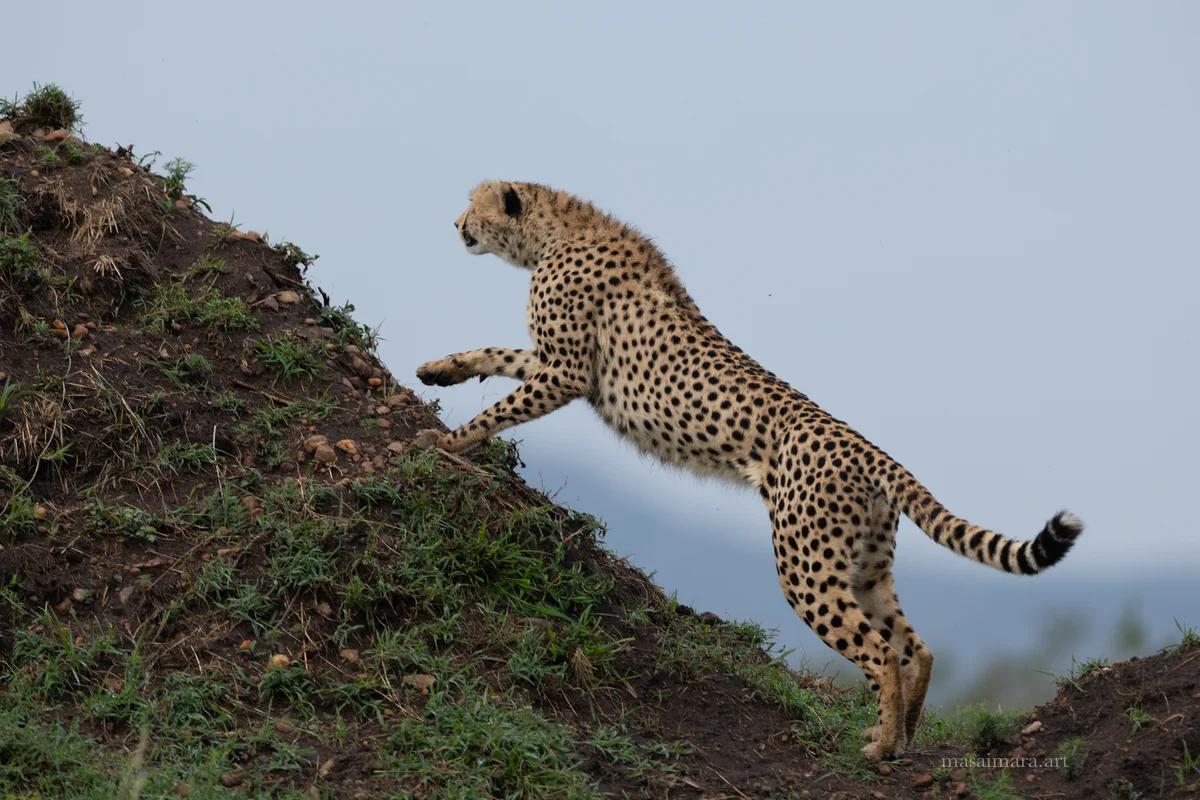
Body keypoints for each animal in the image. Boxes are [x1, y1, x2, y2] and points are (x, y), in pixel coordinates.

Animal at [412, 180, 1084, 759]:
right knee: (917, 647)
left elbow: (499, 407)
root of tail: (872, 451)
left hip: (806, 567)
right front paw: (440, 370)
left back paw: (879, 746)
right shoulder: (559, 365)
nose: (455, 224)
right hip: (866, 566)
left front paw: (446, 440)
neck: (556, 234)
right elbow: (497, 354)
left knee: (880, 651)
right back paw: (905, 736)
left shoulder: (569, 371)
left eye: (472, 203)